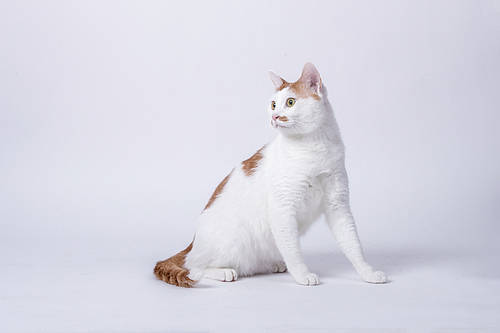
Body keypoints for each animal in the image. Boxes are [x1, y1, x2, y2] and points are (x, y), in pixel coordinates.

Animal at [154, 63, 388, 286]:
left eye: (291, 102)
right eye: (273, 104)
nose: (274, 116)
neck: (314, 146)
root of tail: (193, 243)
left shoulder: (337, 205)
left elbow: (353, 245)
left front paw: (368, 273)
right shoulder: (283, 209)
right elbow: (293, 252)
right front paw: (303, 275)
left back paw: (274, 264)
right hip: (231, 241)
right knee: (195, 267)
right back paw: (224, 272)